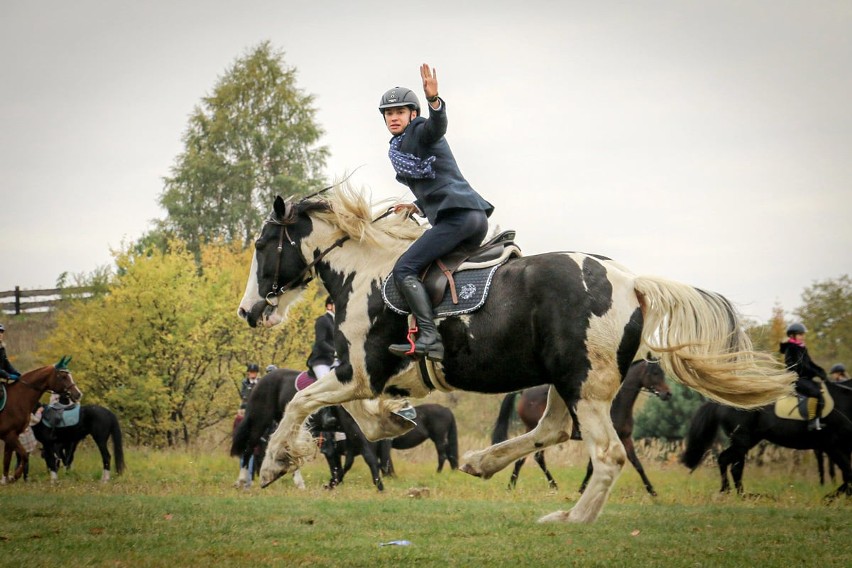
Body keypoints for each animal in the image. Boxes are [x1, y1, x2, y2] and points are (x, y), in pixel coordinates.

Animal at [492, 360, 672, 496]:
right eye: (655, 373)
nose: (668, 394)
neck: (617, 404)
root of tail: (524, 392)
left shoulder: (625, 438)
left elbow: (637, 464)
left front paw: (652, 491)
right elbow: (592, 466)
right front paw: (582, 489)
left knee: (530, 458)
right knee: (529, 458)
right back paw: (527, 485)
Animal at [684, 380, 852, 500]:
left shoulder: (841, 447)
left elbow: (847, 474)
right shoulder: (833, 446)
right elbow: (849, 473)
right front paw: (830, 497)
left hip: (748, 441)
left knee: (728, 463)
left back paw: (739, 494)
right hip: (742, 441)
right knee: (730, 464)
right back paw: (736, 494)